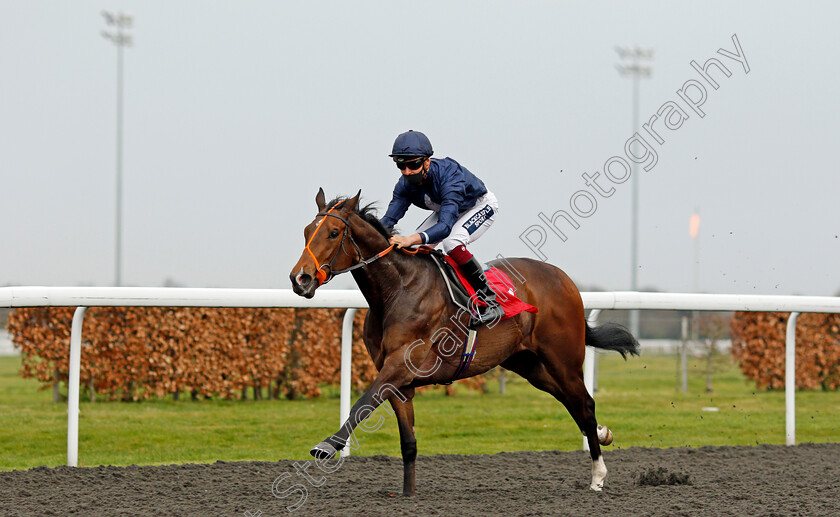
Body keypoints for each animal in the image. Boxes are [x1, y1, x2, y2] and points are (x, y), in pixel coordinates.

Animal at [288, 188, 636, 492]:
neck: (397, 290)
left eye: (333, 233)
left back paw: (598, 476)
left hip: (562, 358)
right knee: (570, 401)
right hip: (528, 363)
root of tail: (564, 279)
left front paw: (327, 445)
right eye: (306, 232)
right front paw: (408, 495)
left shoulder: (400, 365)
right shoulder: (400, 381)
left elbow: (362, 404)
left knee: (584, 404)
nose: (299, 279)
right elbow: (408, 443)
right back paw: (603, 434)